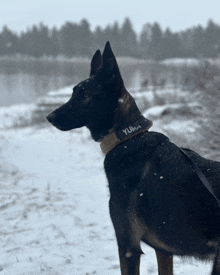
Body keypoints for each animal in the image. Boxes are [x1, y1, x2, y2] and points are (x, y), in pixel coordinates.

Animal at [46, 42, 220, 274]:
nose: (50, 117)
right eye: (73, 92)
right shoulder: (163, 251)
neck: (127, 138)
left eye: (84, 95)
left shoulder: (128, 247)